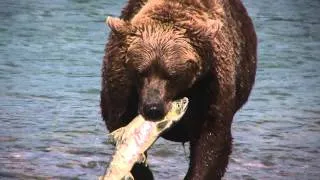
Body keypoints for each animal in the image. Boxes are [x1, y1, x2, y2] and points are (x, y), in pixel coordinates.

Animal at [101, 0, 256, 179]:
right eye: (141, 72)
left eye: (172, 75)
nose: (153, 108)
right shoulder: (123, 87)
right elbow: (121, 125)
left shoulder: (211, 87)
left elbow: (212, 141)